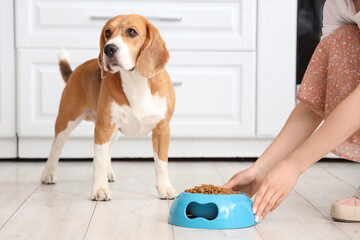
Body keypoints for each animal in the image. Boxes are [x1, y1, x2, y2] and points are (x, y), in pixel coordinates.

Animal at [40, 14, 178, 201]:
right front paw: (99, 189)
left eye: (132, 32)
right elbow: (99, 161)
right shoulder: (102, 128)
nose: (109, 49)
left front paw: (165, 188)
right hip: (67, 120)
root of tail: (76, 70)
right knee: (56, 146)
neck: (135, 80)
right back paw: (48, 173)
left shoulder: (162, 130)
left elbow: (161, 163)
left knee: (108, 150)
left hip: (113, 131)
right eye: (107, 32)